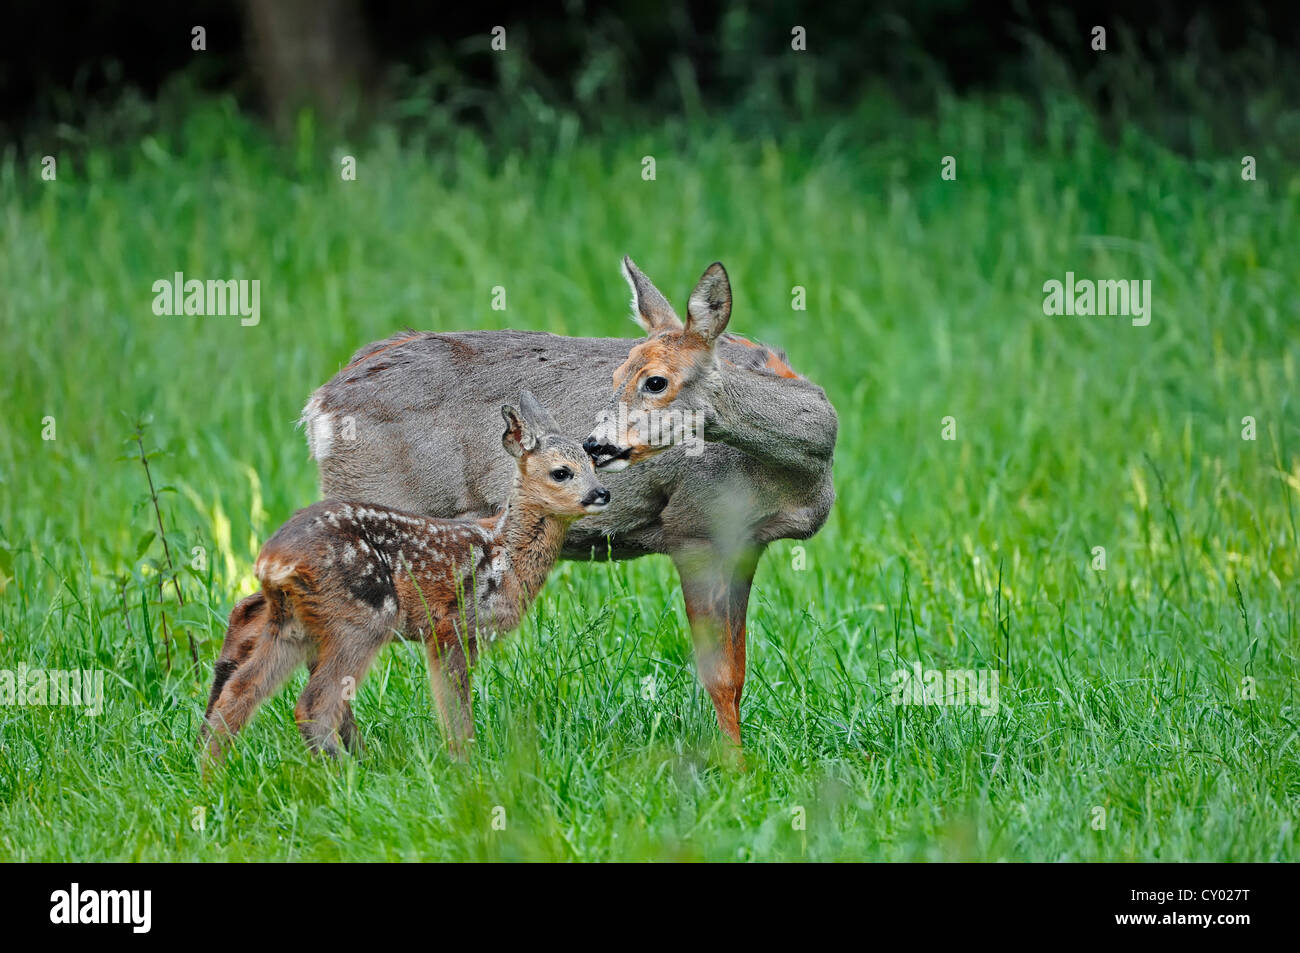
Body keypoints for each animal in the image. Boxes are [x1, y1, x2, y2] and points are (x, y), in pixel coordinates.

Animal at [201, 391, 609, 762]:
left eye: (593, 463)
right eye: (561, 472)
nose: (601, 493)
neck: (503, 553)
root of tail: (272, 558)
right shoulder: (451, 627)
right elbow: (455, 708)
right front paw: (466, 764)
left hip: (293, 622)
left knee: (243, 687)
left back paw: (212, 772)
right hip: (360, 620)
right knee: (313, 704)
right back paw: (346, 773)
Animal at [301, 258, 838, 746]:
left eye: (655, 381)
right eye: (619, 375)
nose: (595, 445)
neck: (797, 472)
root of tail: (318, 407)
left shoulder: (747, 542)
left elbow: (739, 670)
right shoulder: (695, 527)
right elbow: (720, 675)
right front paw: (734, 768)